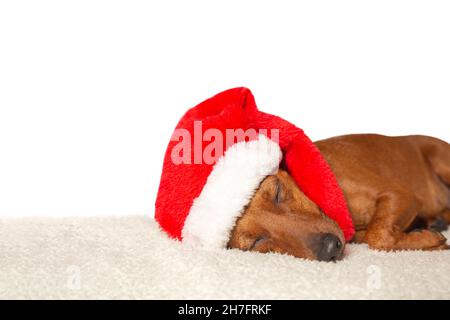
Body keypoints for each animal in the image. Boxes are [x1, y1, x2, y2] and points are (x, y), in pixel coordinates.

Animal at [229, 134, 450, 262]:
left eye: (277, 192)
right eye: (256, 242)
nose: (329, 249)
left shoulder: (399, 193)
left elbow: (377, 237)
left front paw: (431, 239)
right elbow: (374, 236)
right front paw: (425, 238)